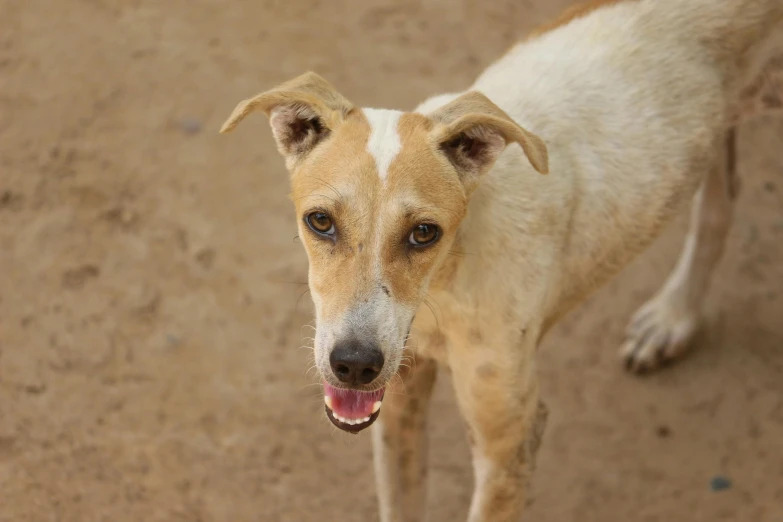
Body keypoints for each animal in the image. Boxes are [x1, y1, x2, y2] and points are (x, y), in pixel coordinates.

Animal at [219, 0, 783, 516]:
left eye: (424, 232)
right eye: (320, 222)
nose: (354, 365)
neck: (447, 283)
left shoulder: (509, 444)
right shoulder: (399, 399)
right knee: (719, 204)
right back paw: (673, 316)